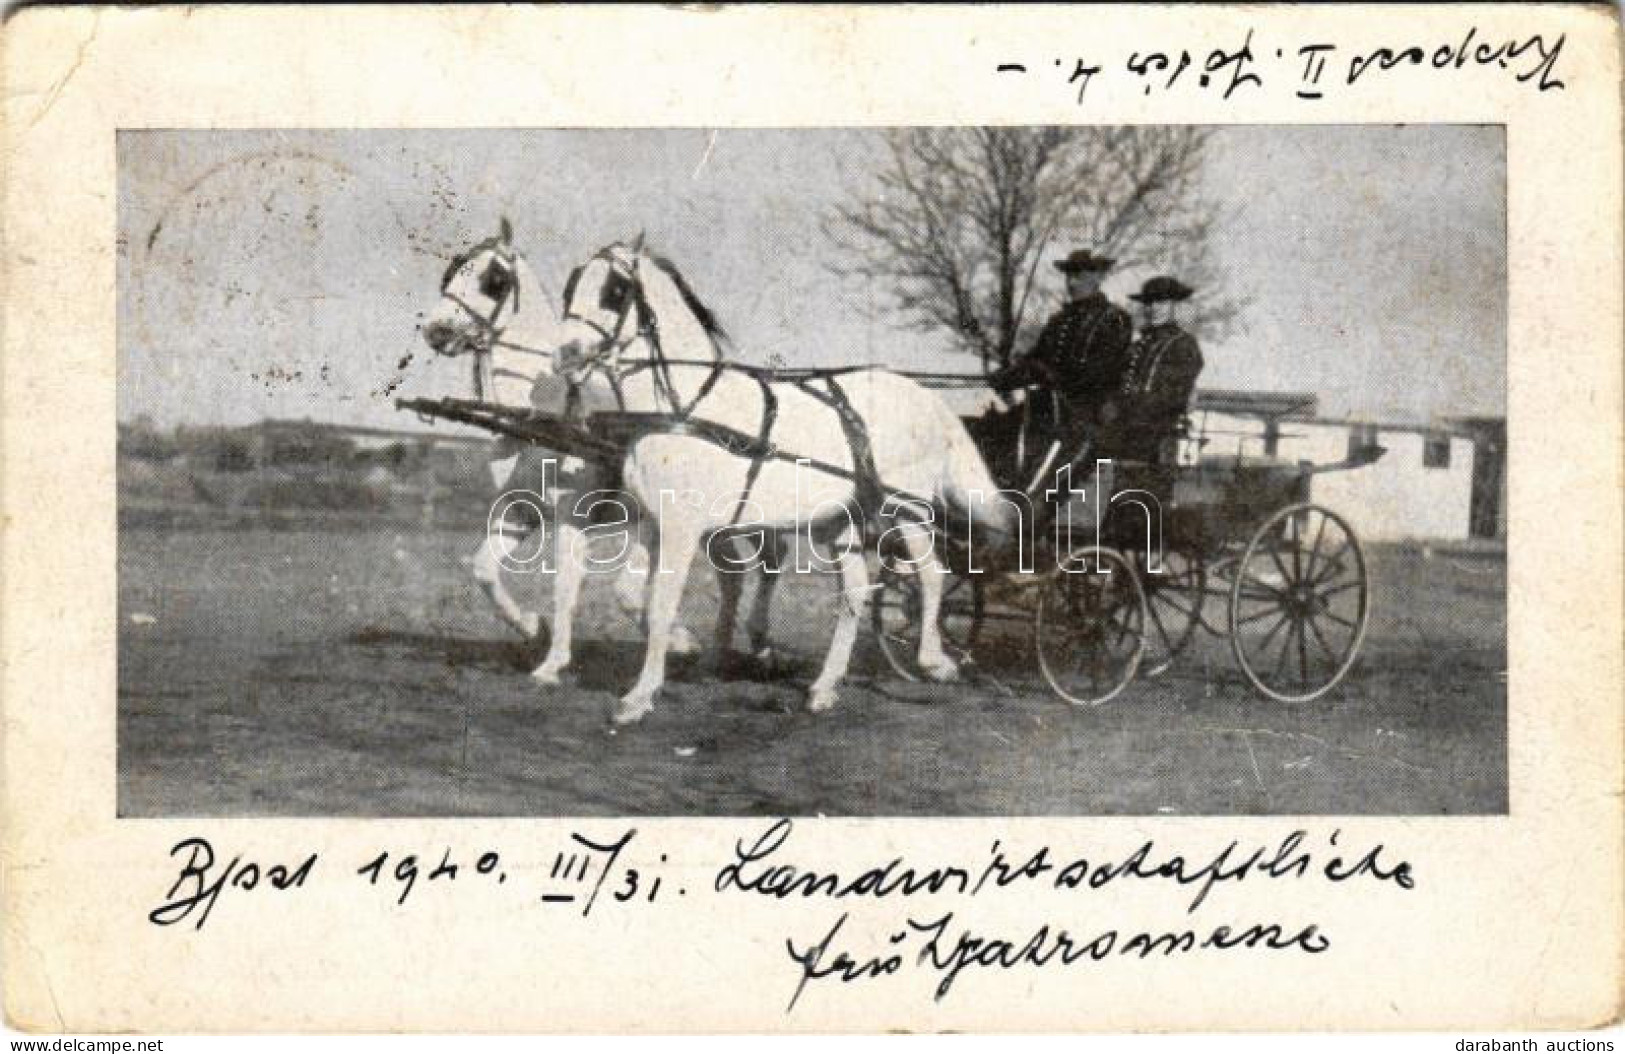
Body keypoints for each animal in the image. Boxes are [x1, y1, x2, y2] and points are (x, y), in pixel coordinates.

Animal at [546, 238, 1014, 724]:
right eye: (571, 285)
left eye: (615, 290)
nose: (564, 355)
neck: (684, 408)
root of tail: (930, 400)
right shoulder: (655, 521)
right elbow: (628, 592)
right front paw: (680, 648)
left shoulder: (682, 528)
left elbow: (660, 604)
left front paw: (639, 697)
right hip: (842, 521)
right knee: (854, 593)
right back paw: (824, 688)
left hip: (908, 509)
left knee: (931, 575)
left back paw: (935, 662)